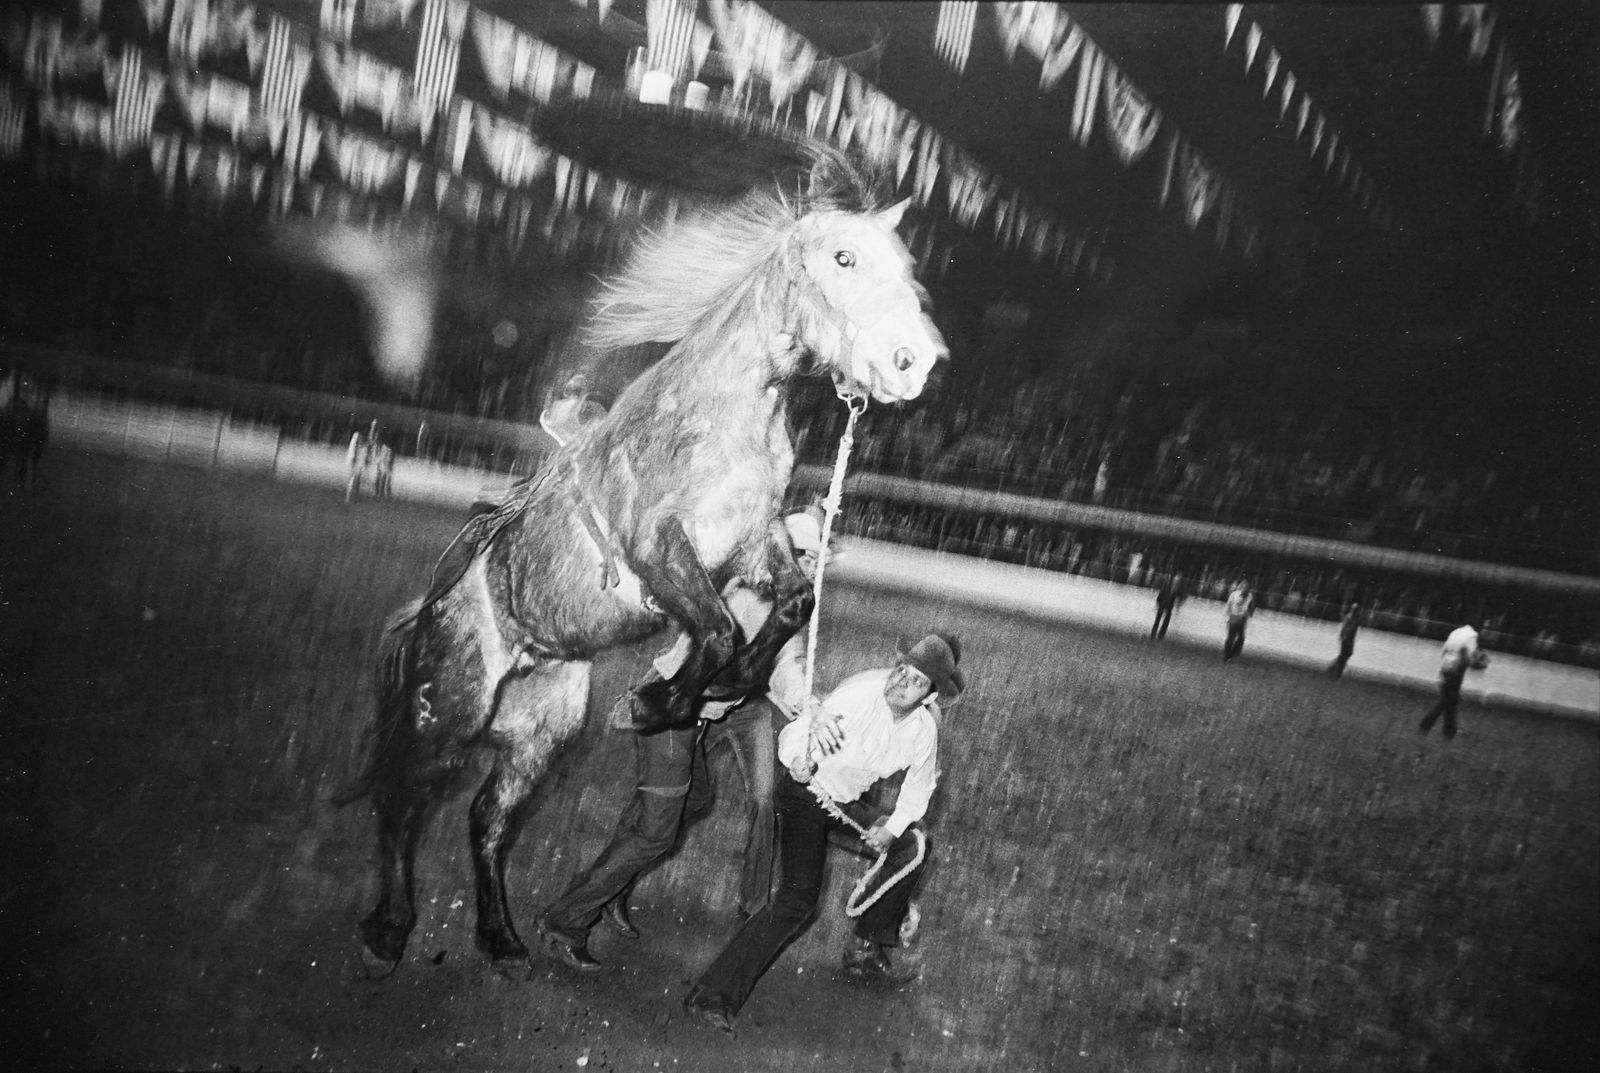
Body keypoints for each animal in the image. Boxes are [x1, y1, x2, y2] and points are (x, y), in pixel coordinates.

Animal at [348, 152, 947, 973]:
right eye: (844, 257)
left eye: (908, 265)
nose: (912, 362)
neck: (721, 415)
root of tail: (437, 606)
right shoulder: (661, 546)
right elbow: (719, 629)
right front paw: (661, 702)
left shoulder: (754, 539)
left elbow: (789, 607)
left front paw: (719, 687)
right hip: (453, 708)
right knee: (405, 793)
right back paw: (389, 927)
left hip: (541, 731)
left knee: (487, 819)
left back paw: (502, 938)